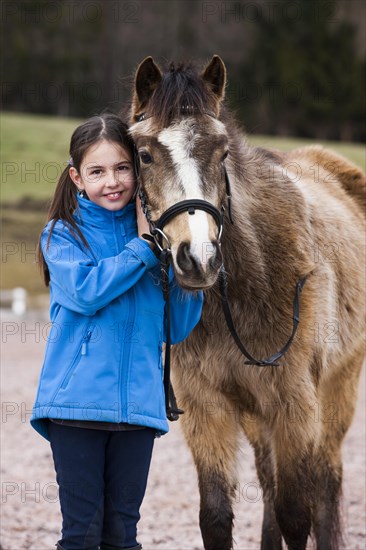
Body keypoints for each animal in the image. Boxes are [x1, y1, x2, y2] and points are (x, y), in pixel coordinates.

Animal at [127, 57, 364, 550]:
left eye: (221, 153)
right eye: (145, 154)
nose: (198, 258)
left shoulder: (296, 403)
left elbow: (296, 514)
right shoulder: (207, 406)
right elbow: (217, 517)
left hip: (338, 392)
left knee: (326, 482)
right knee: (268, 479)